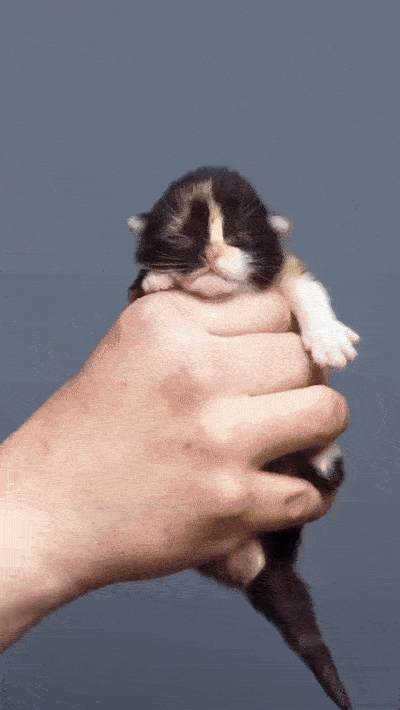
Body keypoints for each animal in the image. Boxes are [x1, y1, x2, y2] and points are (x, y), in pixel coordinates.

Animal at [126, 166, 359, 709]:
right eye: (183, 235)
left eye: (237, 235)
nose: (213, 254)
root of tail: (266, 558)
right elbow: (141, 288)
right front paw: (158, 277)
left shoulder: (287, 269)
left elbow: (307, 289)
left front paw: (327, 337)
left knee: (326, 476)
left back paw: (322, 460)